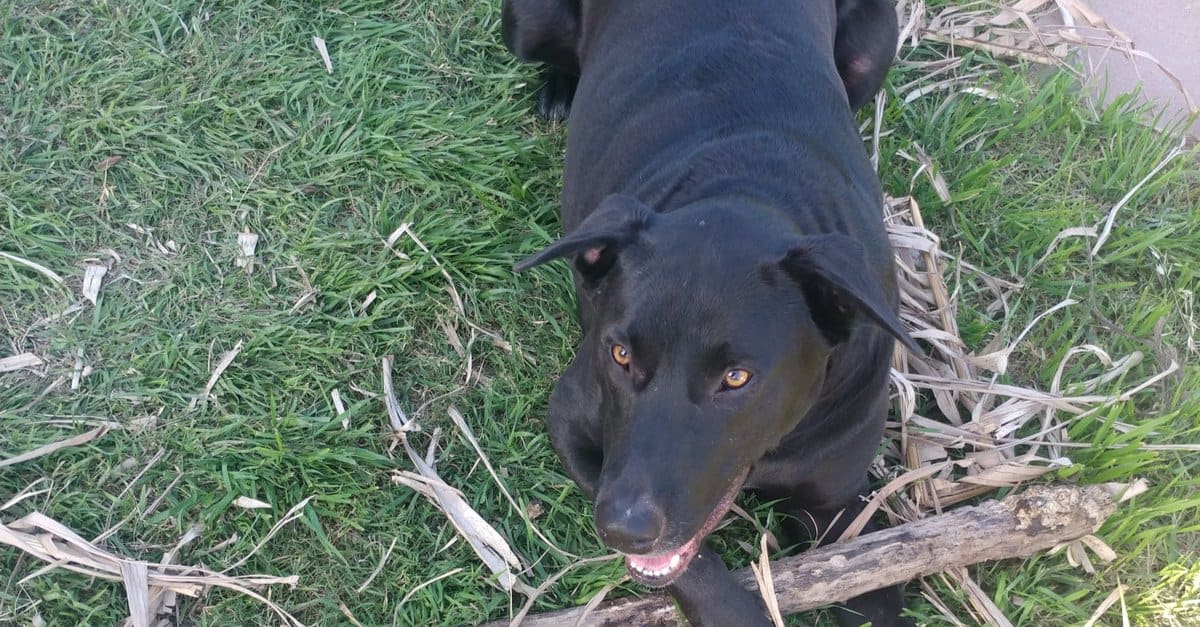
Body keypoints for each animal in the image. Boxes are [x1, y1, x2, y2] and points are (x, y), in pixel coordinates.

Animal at [504, 2, 907, 619]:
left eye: (736, 378)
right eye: (619, 355)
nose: (623, 529)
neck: (750, 193)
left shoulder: (841, 503)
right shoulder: (572, 420)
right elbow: (699, 577)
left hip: (874, 52)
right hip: (525, 29)